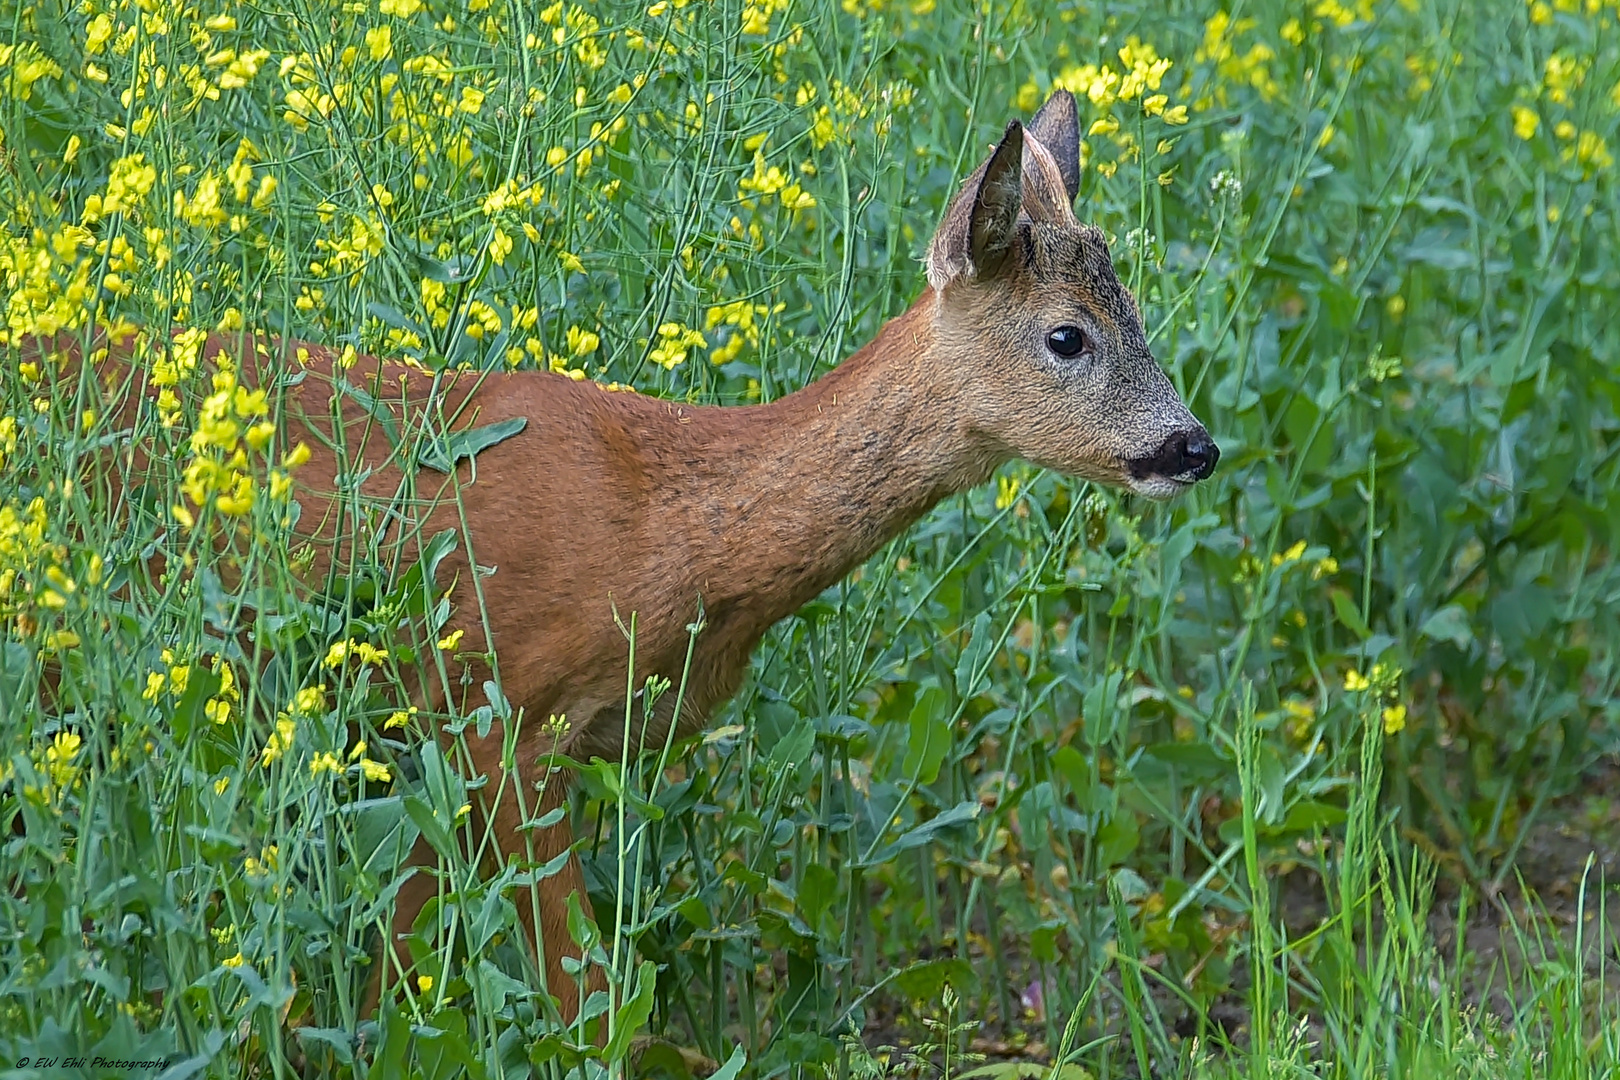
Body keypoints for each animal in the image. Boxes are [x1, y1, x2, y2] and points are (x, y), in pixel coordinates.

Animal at [25, 90, 1218, 1023]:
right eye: (1067, 336)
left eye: (1141, 315)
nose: (1192, 447)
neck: (666, 527)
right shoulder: (501, 707)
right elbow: (586, 997)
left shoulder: (455, 739)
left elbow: (404, 971)